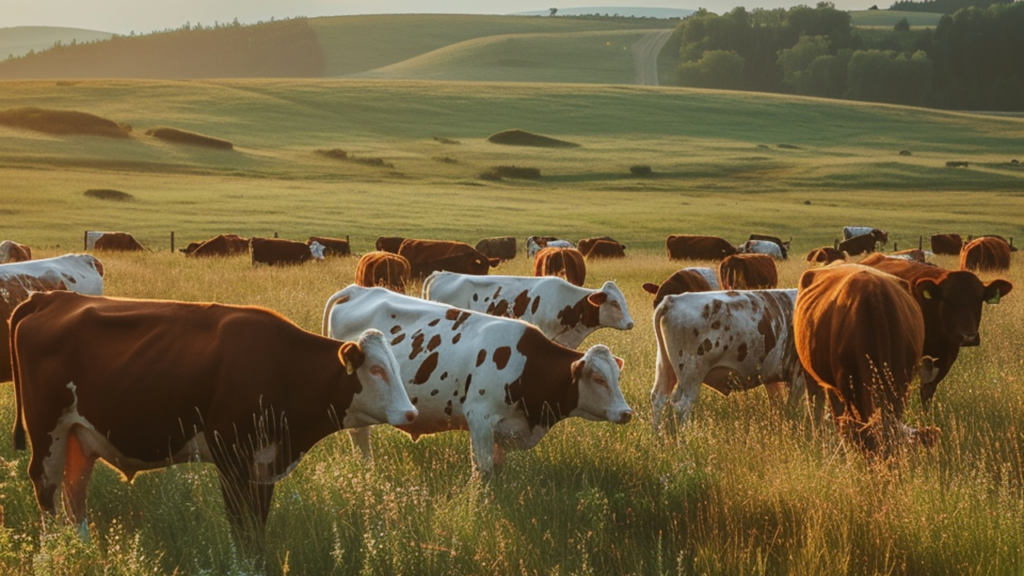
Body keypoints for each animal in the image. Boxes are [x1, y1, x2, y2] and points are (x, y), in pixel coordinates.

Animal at [9, 291, 416, 551]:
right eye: (377, 370)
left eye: (397, 367)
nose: (410, 413)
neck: (281, 365)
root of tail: (50, 297)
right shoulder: (230, 457)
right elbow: (240, 526)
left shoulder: (262, 463)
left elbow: (256, 528)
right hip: (47, 432)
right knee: (46, 490)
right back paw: (52, 553)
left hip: (79, 436)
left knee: (74, 493)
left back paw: (85, 552)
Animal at [322, 286, 632, 476]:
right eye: (598, 378)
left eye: (617, 377)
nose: (626, 413)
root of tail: (358, 289)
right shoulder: (480, 418)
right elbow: (482, 470)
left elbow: (498, 466)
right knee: (360, 436)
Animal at [650, 290, 807, 430]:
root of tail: (672, 300)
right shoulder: (798, 375)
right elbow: (792, 406)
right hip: (691, 374)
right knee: (682, 405)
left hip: (665, 368)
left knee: (659, 399)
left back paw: (658, 434)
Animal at [794, 264, 938, 455]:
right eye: (869, 451)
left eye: (899, 450)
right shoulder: (846, 385)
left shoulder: (902, 382)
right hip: (811, 372)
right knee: (816, 405)